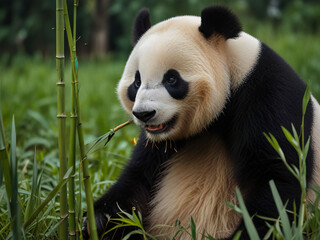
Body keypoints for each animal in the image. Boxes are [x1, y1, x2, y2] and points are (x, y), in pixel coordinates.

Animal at [86, 5, 320, 240]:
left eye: (171, 79)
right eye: (136, 82)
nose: (144, 113)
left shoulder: (271, 98)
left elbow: (277, 180)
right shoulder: (158, 143)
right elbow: (137, 180)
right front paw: (97, 220)